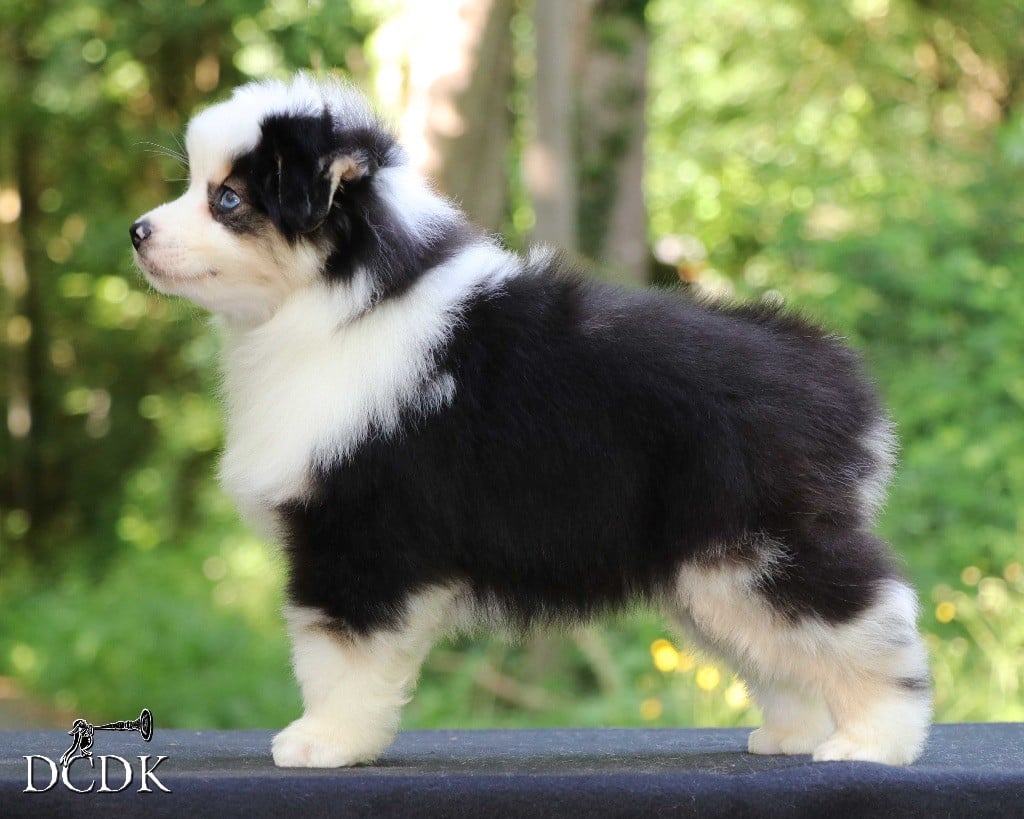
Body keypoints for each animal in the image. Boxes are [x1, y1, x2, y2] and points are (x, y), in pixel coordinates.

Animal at [131, 74, 931, 768]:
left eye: (228, 200)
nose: (137, 231)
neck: (344, 303)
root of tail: (834, 376)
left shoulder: (357, 538)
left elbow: (336, 659)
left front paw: (323, 740)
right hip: (709, 575)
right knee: (779, 651)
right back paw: (793, 732)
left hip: (759, 547)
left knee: (871, 626)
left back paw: (873, 740)